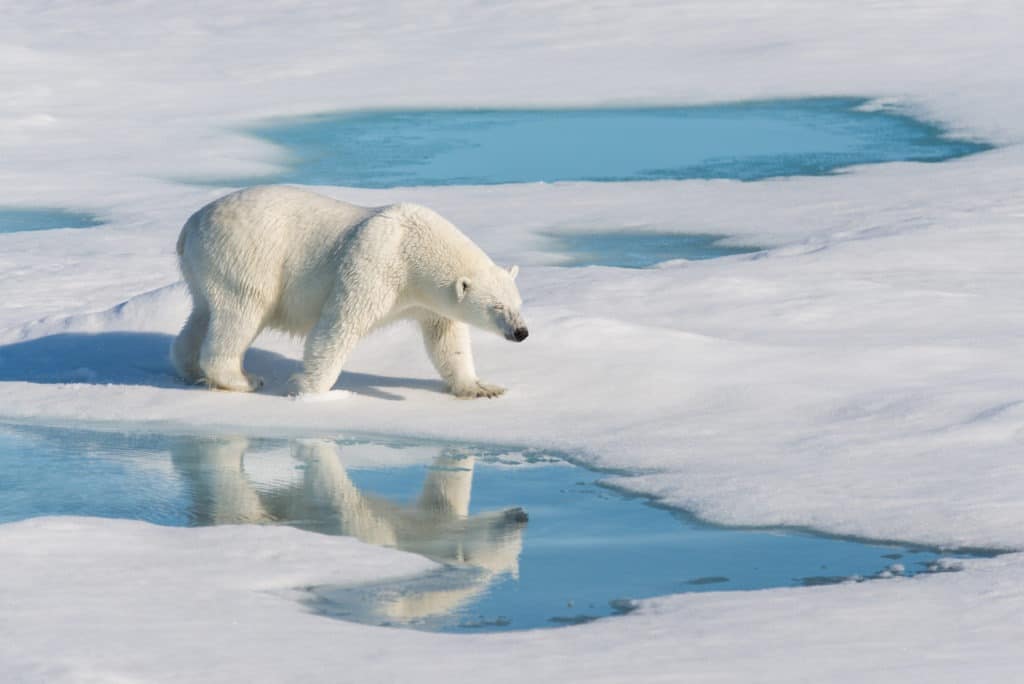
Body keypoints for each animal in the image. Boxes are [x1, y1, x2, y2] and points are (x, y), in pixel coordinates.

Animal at [170, 185, 528, 397]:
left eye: (518, 303)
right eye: (497, 307)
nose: (521, 332)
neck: (413, 246)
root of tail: (189, 226)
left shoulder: (428, 302)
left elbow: (447, 339)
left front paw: (481, 387)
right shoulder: (374, 265)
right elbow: (340, 325)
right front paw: (309, 390)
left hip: (204, 268)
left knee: (202, 313)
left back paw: (190, 369)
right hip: (246, 257)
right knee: (242, 312)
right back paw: (243, 379)